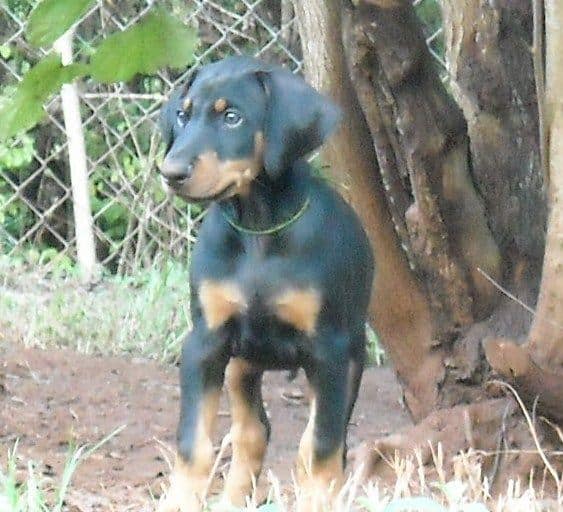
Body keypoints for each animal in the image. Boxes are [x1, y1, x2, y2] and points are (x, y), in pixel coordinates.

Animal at [156, 57, 374, 512]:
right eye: (182, 115)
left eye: (232, 118)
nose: (171, 172)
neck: (259, 228)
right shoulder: (204, 342)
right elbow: (193, 443)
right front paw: (180, 500)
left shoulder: (328, 351)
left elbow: (321, 449)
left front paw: (318, 501)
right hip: (242, 364)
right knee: (253, 434)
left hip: (351, 359)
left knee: (322, 441)